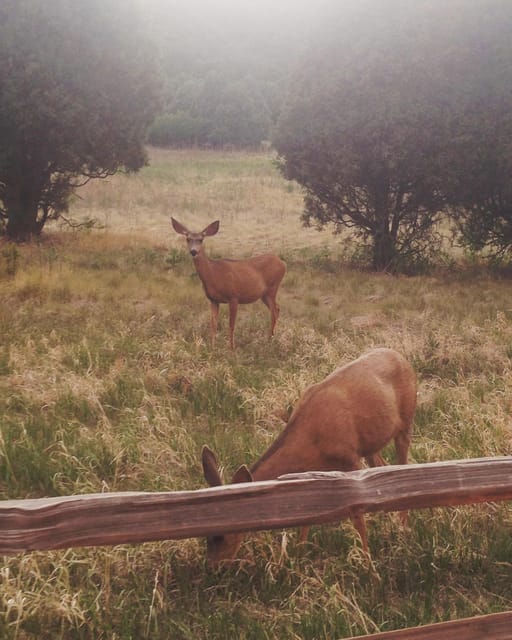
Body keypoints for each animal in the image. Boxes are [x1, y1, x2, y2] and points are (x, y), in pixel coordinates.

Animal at [171, 216, 284, 348]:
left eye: (201, 239)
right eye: (188, 239)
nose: (194, 251)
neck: (214, 274)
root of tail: (283, 263)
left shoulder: (234, 296)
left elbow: (231, 325)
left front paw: (231, 348)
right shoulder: (213, 300)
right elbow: (213, 325)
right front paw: (213, 347)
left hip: (272, 287)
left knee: (274, 311)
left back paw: (269, 340)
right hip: (264, 294)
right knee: (277, 308)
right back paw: (271, 338)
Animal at [200, 348, 416, 564]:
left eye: (222, 534)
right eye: (206, 534)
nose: (214, 566)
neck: (311, 440)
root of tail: (399, 355)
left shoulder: (351, 458)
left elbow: (357, 518)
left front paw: (368, 563)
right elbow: (308, 513)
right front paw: (299, 555)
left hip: (406, 422)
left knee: (402, 465)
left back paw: (403, 530)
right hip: (371, 444)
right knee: (382, 466)